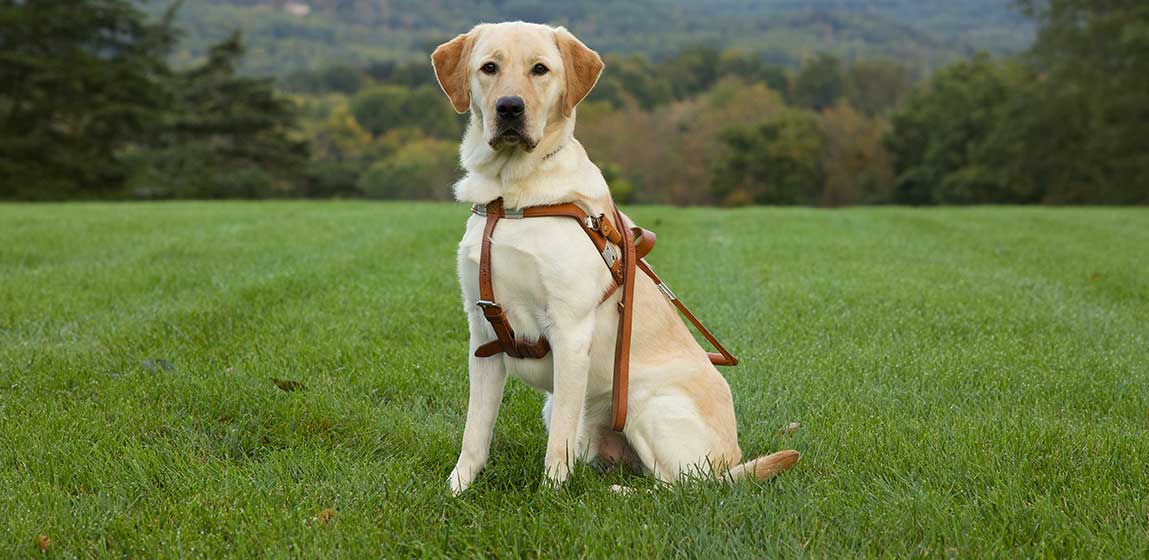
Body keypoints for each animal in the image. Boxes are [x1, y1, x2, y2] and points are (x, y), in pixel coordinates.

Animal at [432, 21, 799, 494]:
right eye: (488, 68)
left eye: (540, 69)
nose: (509, 108)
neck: (510, 196)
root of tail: (731, 460)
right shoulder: (483, 334)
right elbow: (475, 431)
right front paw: (456, 489)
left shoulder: (570, 331)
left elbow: (557, 447)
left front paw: (551, 497)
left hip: (647, 402)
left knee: (681, 487)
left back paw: (620, 493)